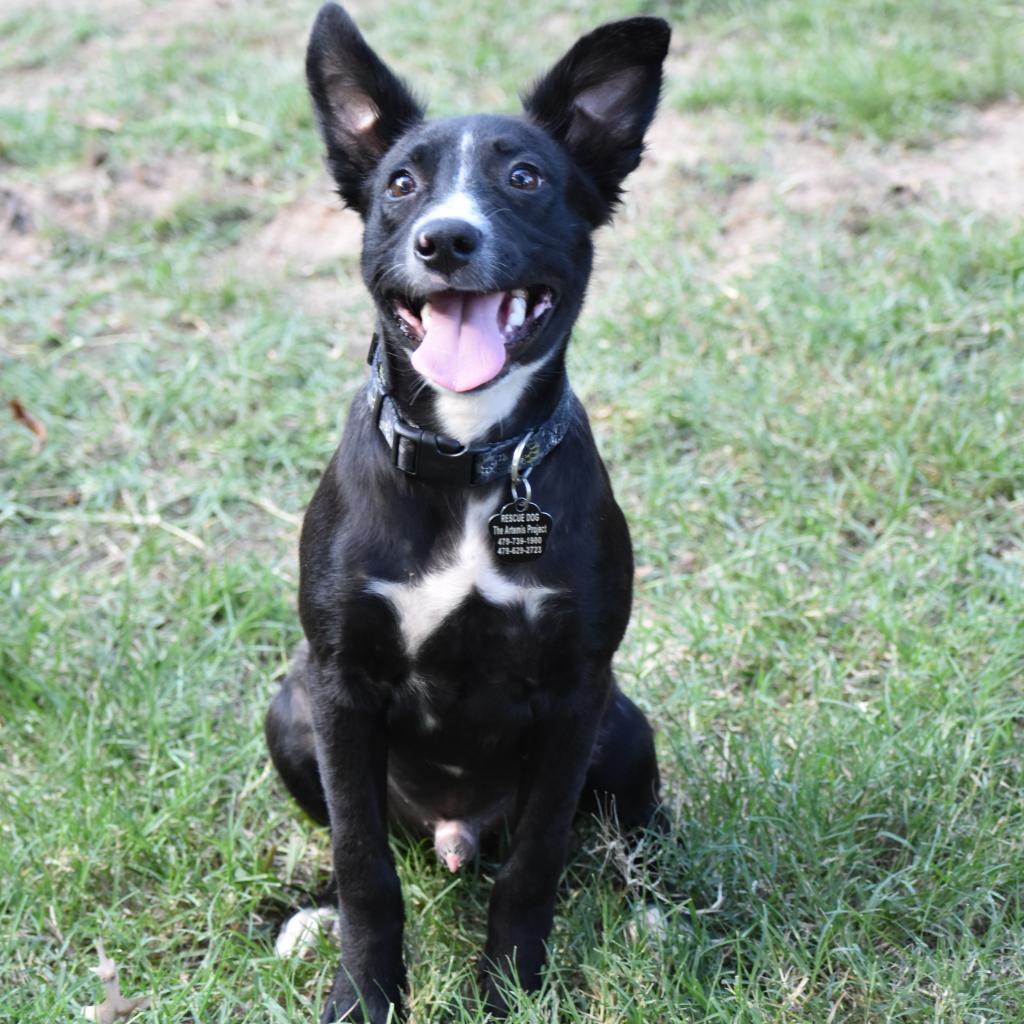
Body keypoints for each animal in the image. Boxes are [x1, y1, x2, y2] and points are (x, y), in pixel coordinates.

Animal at [268, 6, 671, 1015]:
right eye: (400, 185)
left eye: (524, 176)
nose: (444, 240)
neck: (468, 462)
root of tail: (456, 837)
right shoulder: (337, 687)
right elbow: (363, 864)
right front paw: (363, 996)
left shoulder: (575, 691)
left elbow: (536, 863)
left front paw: (512, 991)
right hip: (289, 710)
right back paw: (309, 915)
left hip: (624, 727)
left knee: (623, 832)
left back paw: (652, 906)